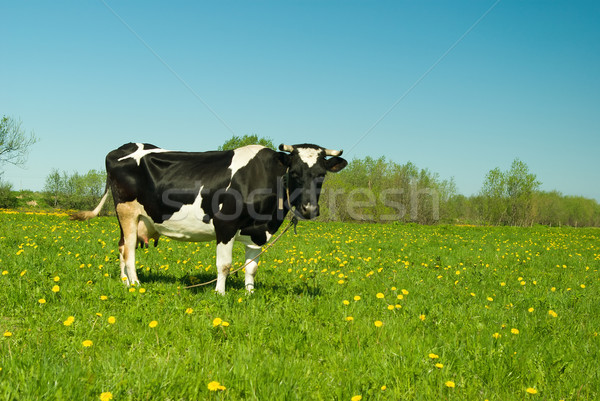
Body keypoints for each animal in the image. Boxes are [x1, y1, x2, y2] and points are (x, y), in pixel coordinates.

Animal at [71, 142, 346, 292]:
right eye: (295, 172)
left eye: (321, 174)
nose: (310, 209)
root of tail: (125, 147)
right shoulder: (224, 224)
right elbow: (224, 264)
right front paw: (220, 294)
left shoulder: (257, 231)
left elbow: (252, 267)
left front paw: (249, 294)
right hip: (127, 212)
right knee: (129, 250)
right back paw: (136, 285)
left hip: (134, 218)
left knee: (120, 247)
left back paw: (124, 282)